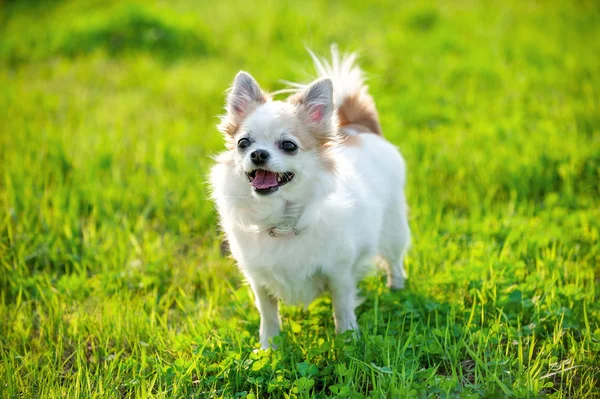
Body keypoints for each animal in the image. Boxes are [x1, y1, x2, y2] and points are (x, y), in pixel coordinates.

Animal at [209, 45, 410, 348]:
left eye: (289, 146)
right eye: (243, 143)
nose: (258, 154)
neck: (281, 218)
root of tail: (357, 128)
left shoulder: (339, 272)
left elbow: (342, 306)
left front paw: (348, 340)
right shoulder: (259, 280)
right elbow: (268, 314)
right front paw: (269, 347)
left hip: (393, 227)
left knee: (394, 260)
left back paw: (396, 288)